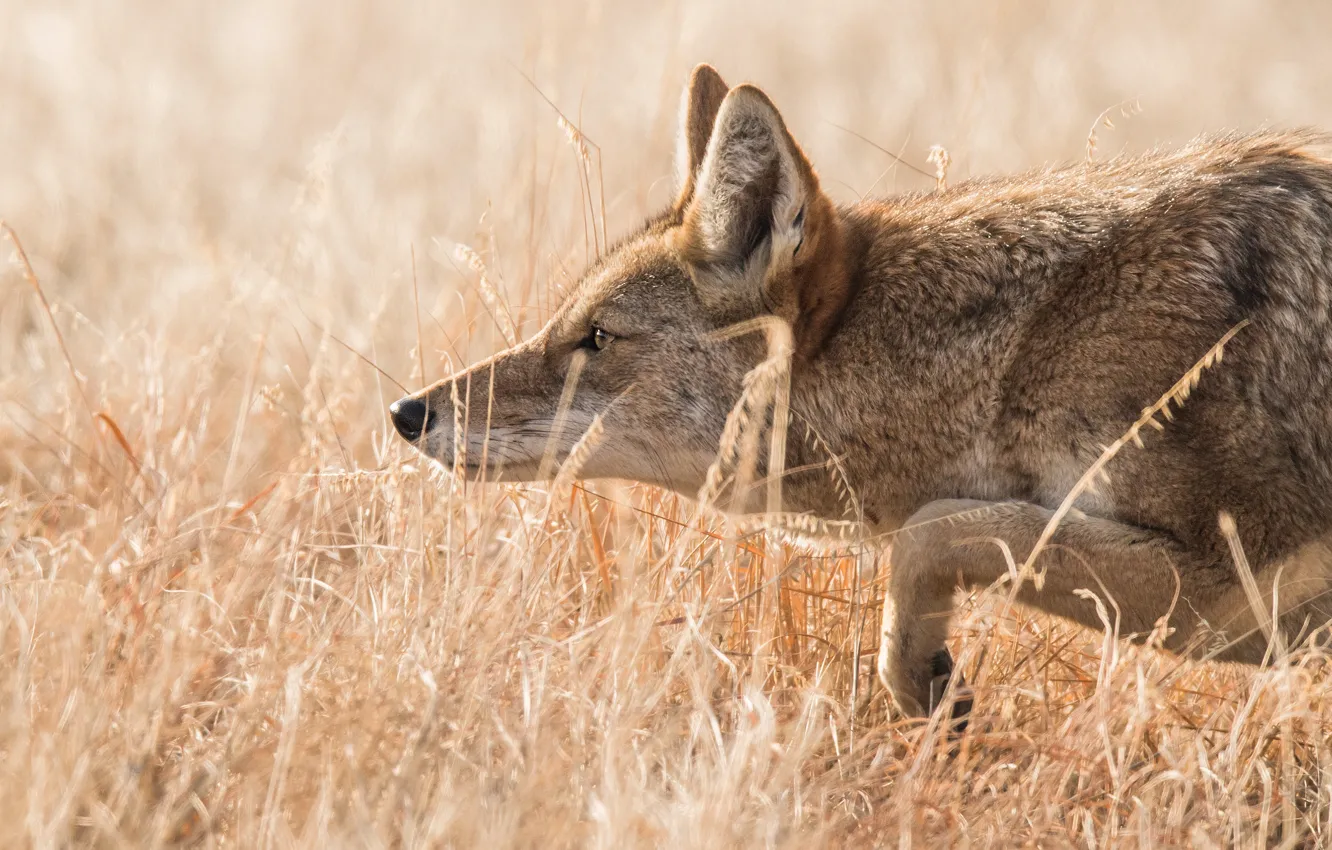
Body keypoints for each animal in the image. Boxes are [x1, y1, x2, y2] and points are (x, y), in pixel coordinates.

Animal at [390, 64, 1332, 717]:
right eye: (562, 326)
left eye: (595, 339)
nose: (407, 412)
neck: (1027, 340)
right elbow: (944, 531)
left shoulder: (1236, 583)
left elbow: (932, 530)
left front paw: (925, 684)